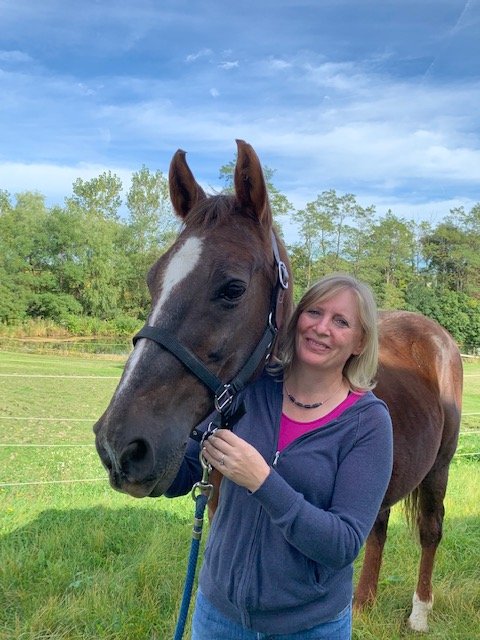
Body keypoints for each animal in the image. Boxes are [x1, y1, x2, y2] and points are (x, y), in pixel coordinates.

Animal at [94, 140, 463, 633]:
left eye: (232, 288)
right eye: (154, 281)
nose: (119, 445)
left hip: (440, 466)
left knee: (430, 528)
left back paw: (420, 612)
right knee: (379, 527)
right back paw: (363, 602)